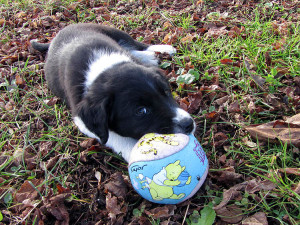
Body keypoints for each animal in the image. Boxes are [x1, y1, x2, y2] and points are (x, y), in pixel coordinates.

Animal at [30, 23, 195, 162]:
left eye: (166, 92)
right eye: (141, 111)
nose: (189, 124)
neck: (105, 68)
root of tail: (55, 37)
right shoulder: (82, 119)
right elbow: (113, 137)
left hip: (112, 31)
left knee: (137, 44)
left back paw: (161, 50)